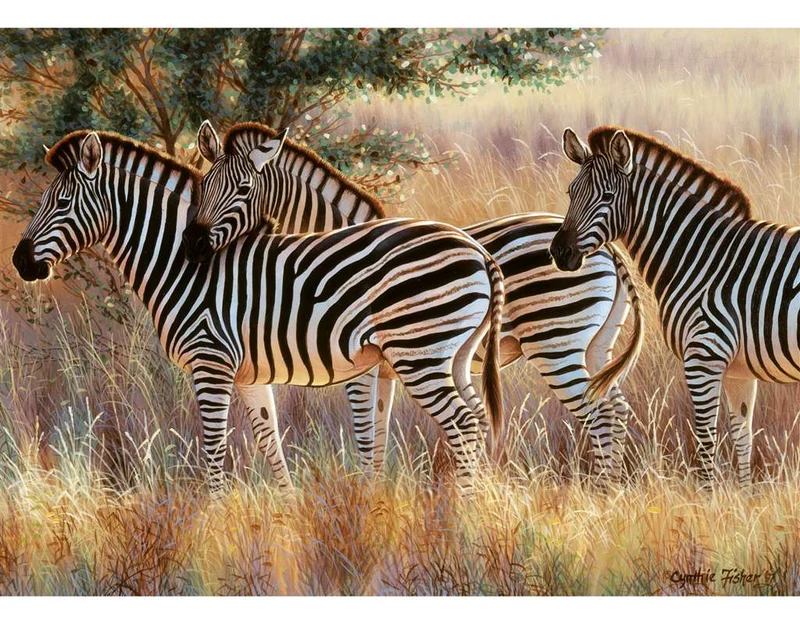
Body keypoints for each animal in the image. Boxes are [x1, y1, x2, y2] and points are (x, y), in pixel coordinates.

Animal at [12, 129, 505, 494]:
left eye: (61, 203)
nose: (19, 261)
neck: (179, 267)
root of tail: (479, 251)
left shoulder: (210, 362)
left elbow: (214, 452)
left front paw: (213, 524)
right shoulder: (249, 373)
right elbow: (271, 446)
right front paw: (285, 522)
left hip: (418, 351)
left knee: (463, 424)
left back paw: (461, 513)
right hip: (455, 353)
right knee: (478, 419)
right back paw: (481, 503)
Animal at [184, 120, 644, 481]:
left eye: (243, 189)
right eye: (204, 186)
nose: (193, 244)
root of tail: (607, 248)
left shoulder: (362, 366)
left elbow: (366, 435)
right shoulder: (385, 367)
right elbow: (378, 434)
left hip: (556, 340)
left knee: (601, 415)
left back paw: (600, 494)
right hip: (595, 344)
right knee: (617, 409)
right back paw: (610, 491)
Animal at [551, 125, 800, 485]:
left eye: (608, 197)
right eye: (571, 193)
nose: (560, 253)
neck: (702, 256)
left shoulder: (704, 356)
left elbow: (706, 441)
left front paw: (709, 497)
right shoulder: (738, 369)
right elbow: (742, 437)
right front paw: (743, 495)